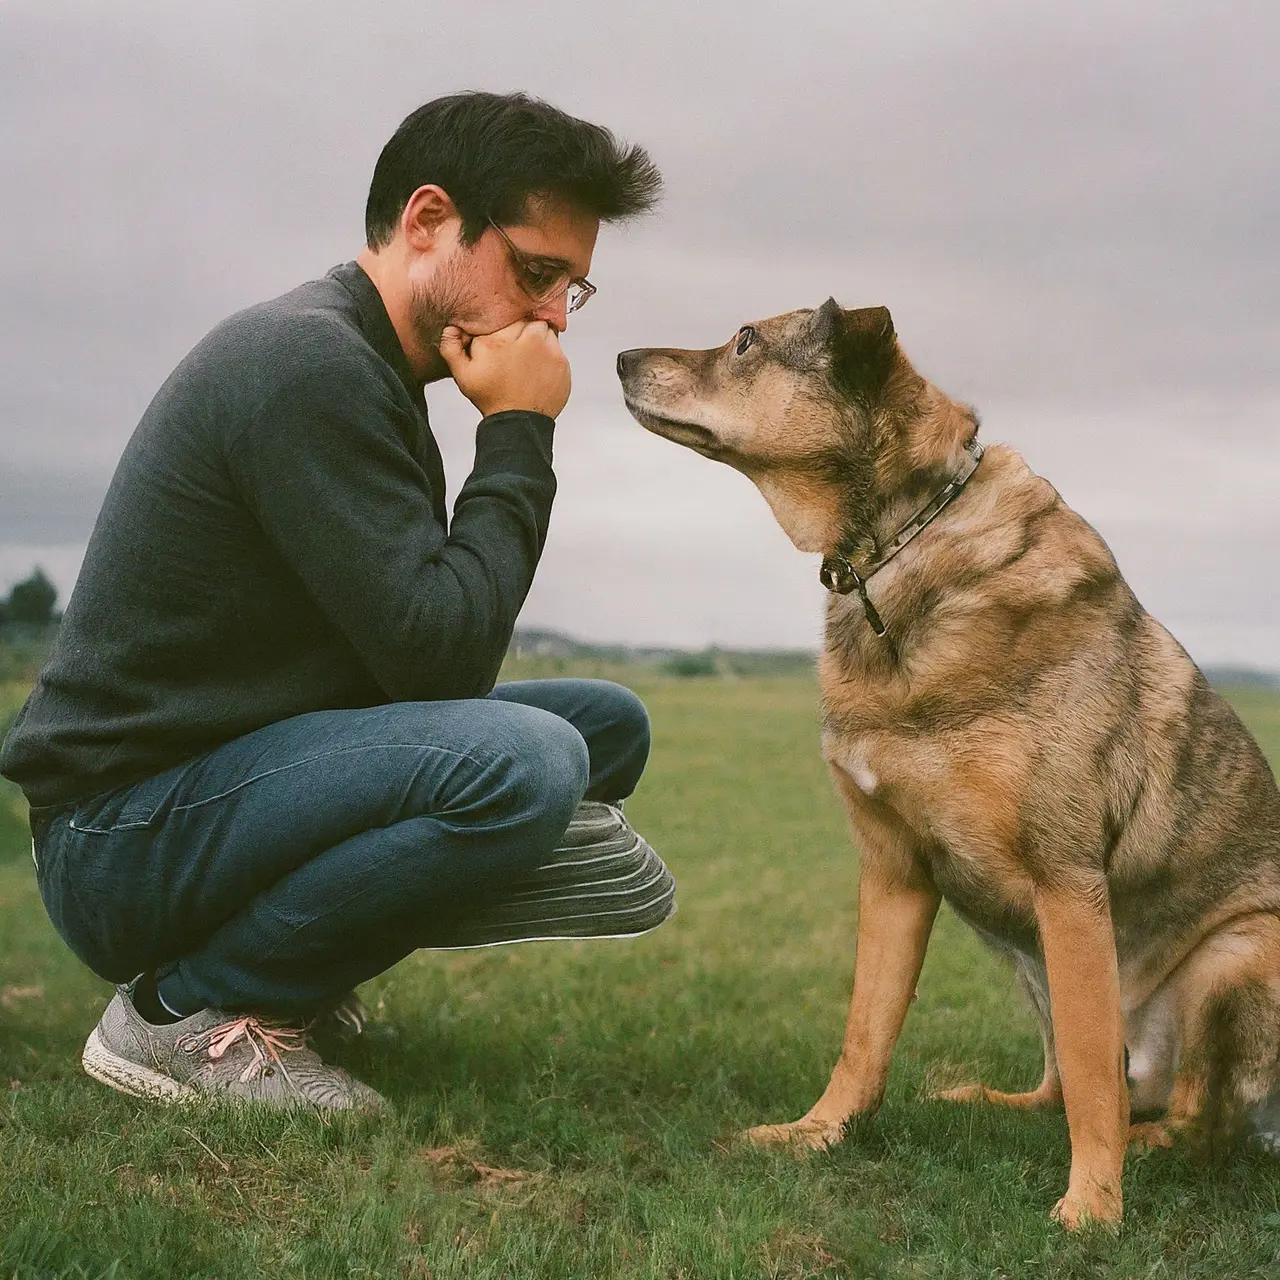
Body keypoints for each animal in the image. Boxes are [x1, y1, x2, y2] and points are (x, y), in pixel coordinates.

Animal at [616, 302, 1280, 1228]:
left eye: (746, 340)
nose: (616, 357)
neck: (898, 541)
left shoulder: (1070, 880)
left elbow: (1091, 1075)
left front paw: (1093, 1209)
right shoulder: (895, 872)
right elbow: (866, 1032)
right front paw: (818, 1134)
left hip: (1236, 952)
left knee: (1184, 1118)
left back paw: (1146, 1145)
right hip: (1026, 950)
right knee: (1068, 1085)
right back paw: (993, 1102)